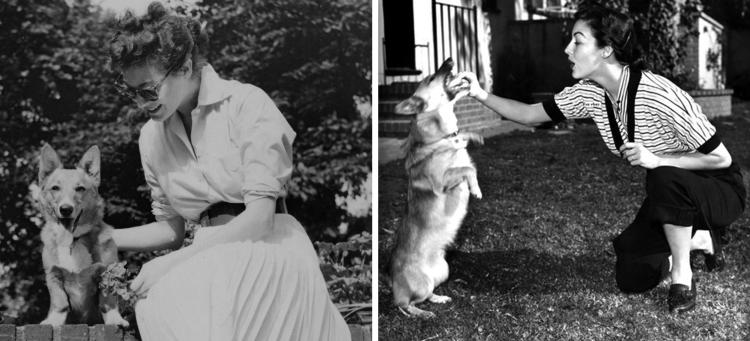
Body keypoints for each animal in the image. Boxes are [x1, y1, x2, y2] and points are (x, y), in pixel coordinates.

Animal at [36, 144, 129, 326]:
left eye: (80, 189)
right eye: (55, 188)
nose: (66, 209)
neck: (73, 241)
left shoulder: (107, 273)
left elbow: (108, 301)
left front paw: (115, 319)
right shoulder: (53, 275)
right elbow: (59, 302)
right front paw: (54, 320)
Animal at [390, 57, 484, 318]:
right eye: (431, 78)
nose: (450, 60)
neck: (442, 137)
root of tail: (394, 287)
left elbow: (467, 154)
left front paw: (474, 136)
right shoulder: (443, 182)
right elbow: (467, 169)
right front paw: (476, 190)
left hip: (443, 271)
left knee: (428, 294)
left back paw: (439, 299)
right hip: (419, 285)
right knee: (406, 305)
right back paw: (422, 313)